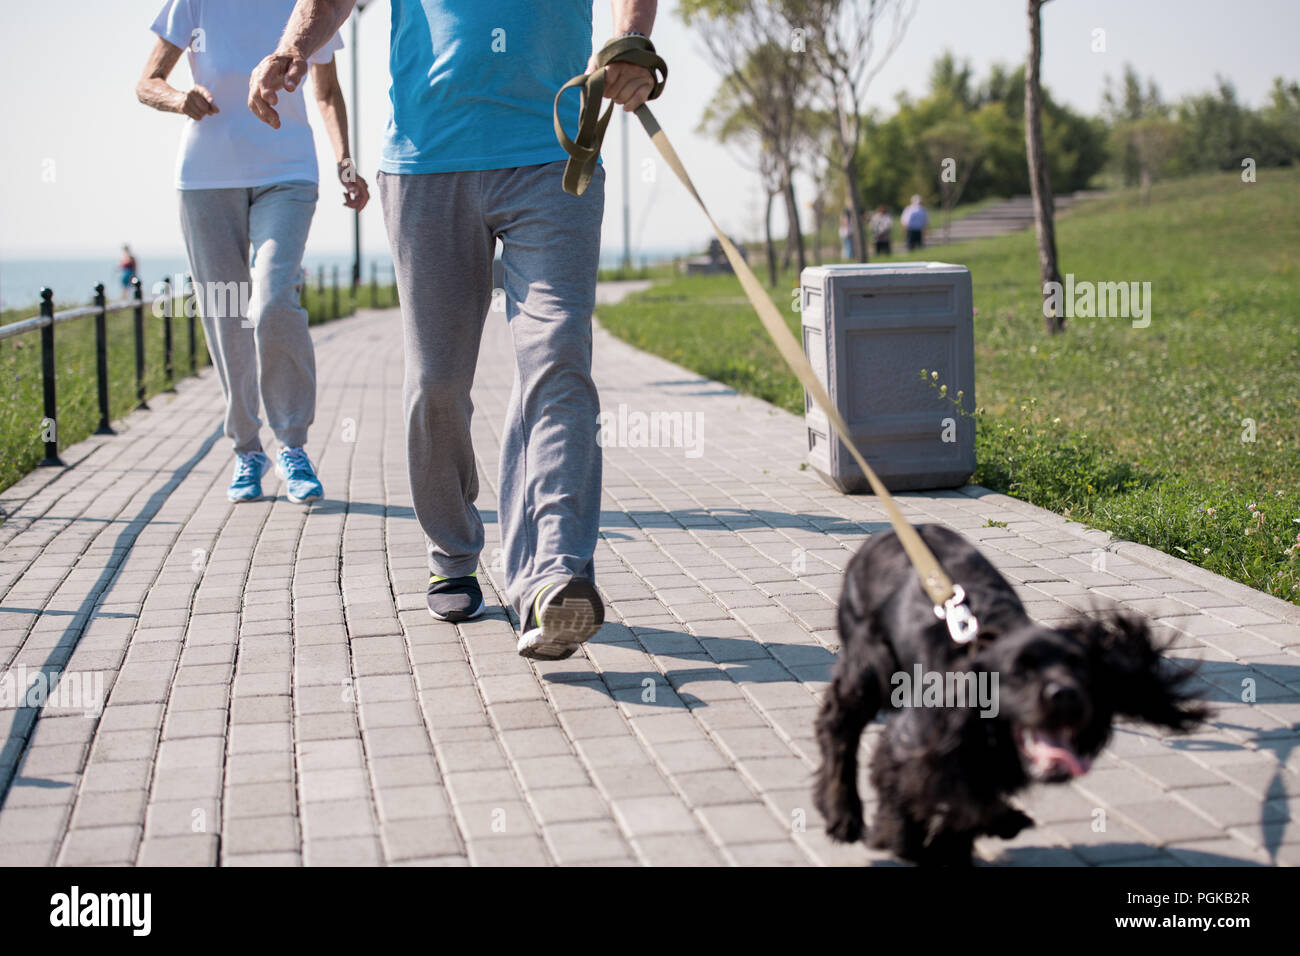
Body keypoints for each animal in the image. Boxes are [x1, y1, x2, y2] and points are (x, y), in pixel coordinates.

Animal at [811, 522, 1206, 868]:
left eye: (1080, 668)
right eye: (1019, 671)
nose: (1066, 695)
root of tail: (886, 535)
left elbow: (964, 799)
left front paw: (964, 840)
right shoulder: (915, 741)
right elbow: (916, 787)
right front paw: (902, 839)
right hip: (871, 664)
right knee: (838, 724)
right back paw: (843, 815)